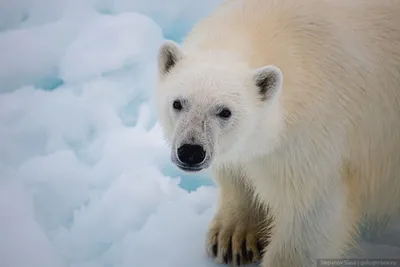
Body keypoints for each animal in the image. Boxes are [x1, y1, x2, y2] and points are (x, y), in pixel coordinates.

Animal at [155, 0, 400, 267]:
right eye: (178, 103)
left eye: (225, 112)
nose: (190, 151)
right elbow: (238, 170)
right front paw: (233, 238)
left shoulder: (318, 136)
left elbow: (311, 215)